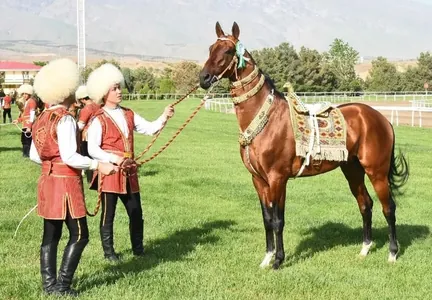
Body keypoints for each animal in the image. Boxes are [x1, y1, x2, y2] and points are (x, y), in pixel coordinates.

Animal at [198, 21, 408, 270]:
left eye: (228, 51)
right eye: (210, 48)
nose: (203, 78)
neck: (267, 119)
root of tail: (381, 118)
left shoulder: (278, 179)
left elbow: (278, 220)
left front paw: (278, 260)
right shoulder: (258, 180)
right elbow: (267, 219)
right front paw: (266, 258)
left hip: (377, 172)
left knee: (389, 208)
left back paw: (392, 253)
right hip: (353, 170)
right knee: (365, 204)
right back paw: (365, 250)